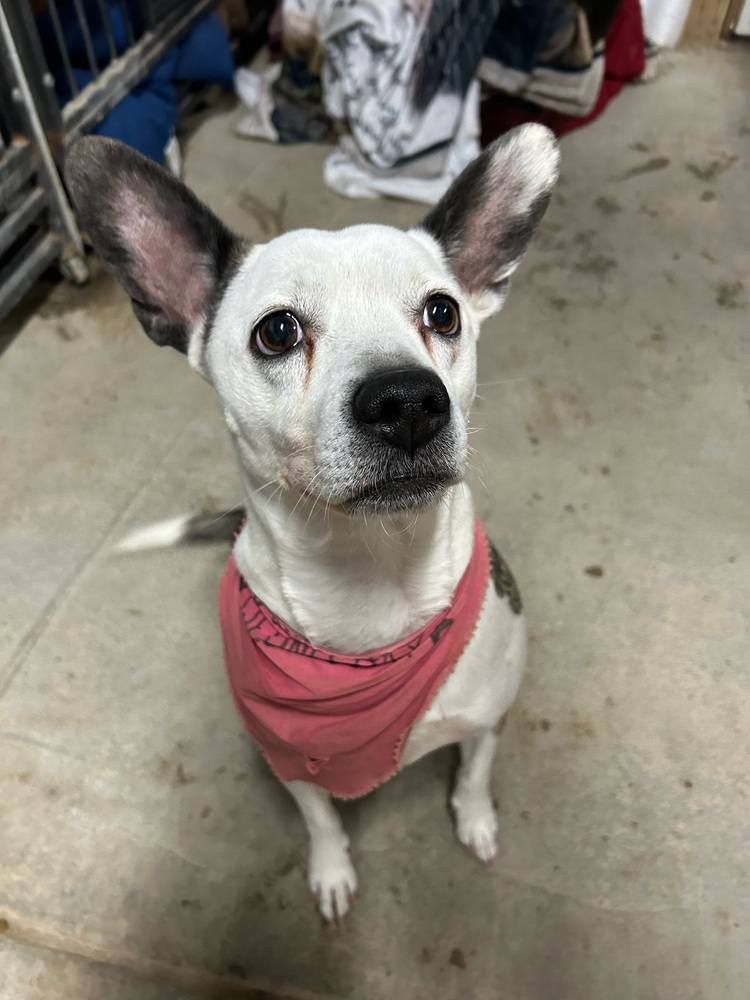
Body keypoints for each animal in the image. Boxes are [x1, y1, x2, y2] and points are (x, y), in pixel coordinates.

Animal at [63, 125, 560, 920]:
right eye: (277, 332)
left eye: (443, 313)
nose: (407, 400)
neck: (374, 581)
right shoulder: (291, 762)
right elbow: (322, 817)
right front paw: (331, 869)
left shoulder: (487, 720)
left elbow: (475, 772)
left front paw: (475, 818)